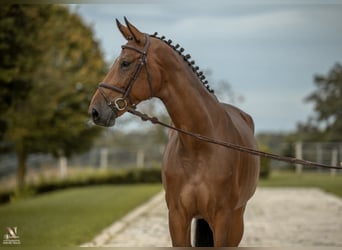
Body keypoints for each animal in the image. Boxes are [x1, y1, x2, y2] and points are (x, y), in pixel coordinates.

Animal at [88, 17, 260, 246]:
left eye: (125, 63)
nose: (95, 111)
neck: (200, 146)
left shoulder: (223, 219)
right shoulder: (177, 218)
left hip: (237, 219)